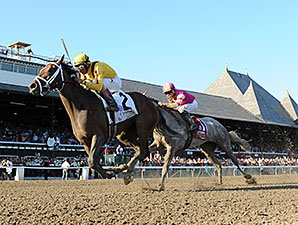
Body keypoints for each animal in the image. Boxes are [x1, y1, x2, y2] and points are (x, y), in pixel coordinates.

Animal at [28, 56, 158, 181]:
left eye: (51, 69)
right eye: (42, 69)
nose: (32, 86)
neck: (81, 105)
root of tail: (151, 102)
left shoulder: (99, 136)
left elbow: (92, 161)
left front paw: (108, 174)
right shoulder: (85, 141)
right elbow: (94, 161)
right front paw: (108, 173)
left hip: (143, 129)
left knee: (143, 151)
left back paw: (125, 168)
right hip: (124, 134)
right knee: (140, 151)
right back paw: (123, 167)